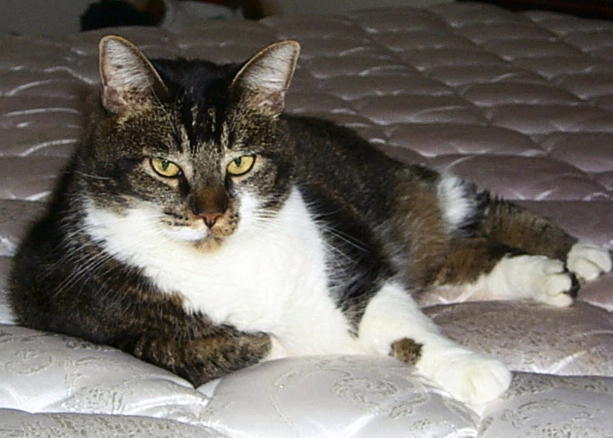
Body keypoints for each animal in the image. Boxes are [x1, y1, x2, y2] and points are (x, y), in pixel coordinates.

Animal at [7, 36, 608, 406]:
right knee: (458, 261)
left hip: (405, 188)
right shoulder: (95, 314)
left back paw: (580, 255)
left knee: (475, 209)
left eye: (241, 162)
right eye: (165, 165)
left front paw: (469, 365)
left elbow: (407, 326)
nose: (211, 215)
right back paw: (546, 277)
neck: (228, 260)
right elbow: (233, 345)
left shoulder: (357, 265)